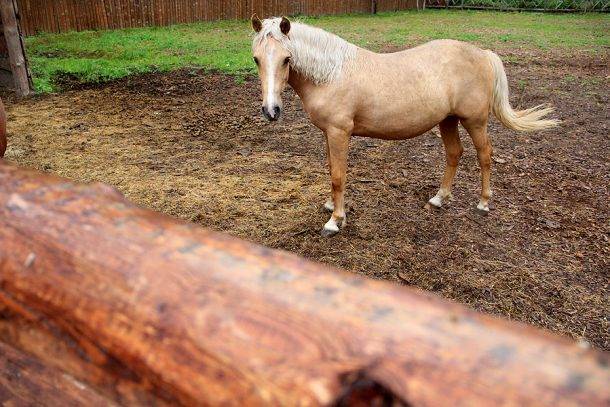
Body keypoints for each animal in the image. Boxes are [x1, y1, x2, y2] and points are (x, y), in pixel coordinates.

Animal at [248, 15, 556, 237]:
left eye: (287, 59)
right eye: (256, 59)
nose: (271, 111)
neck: (332, 74)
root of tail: (482, 54)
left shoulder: (339, 132)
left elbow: (338, 175)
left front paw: (335, 221)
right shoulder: (329, 134)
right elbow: (332, 171)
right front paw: (331, 206)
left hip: (475, 121)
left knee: (485, 156)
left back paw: (483, 204)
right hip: (448, 120)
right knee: (454, 154)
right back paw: (439, 199)